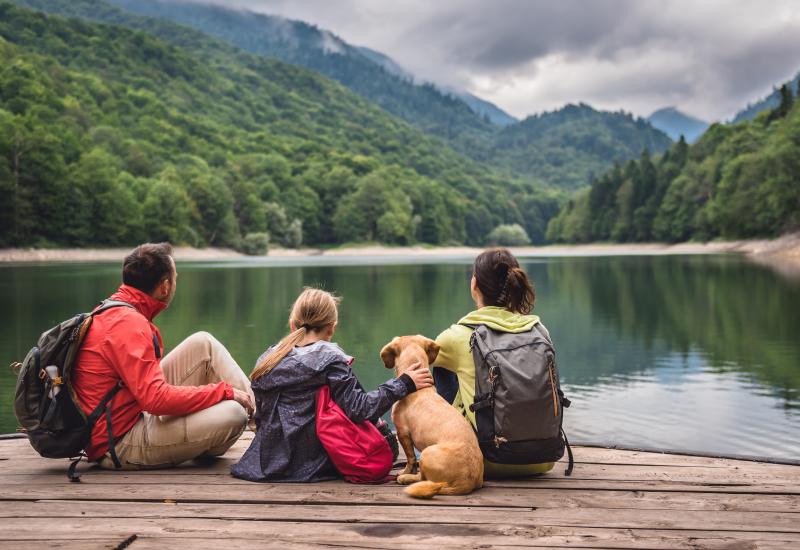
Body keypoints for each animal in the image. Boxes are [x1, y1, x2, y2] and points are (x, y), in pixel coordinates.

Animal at [380, 336, 484, 500]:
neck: (420, 389)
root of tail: (466, 482)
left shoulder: (402, 433)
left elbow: (410, 459)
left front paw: (405, 472)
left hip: (426, 453)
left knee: (422, 478)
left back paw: (405, 478)